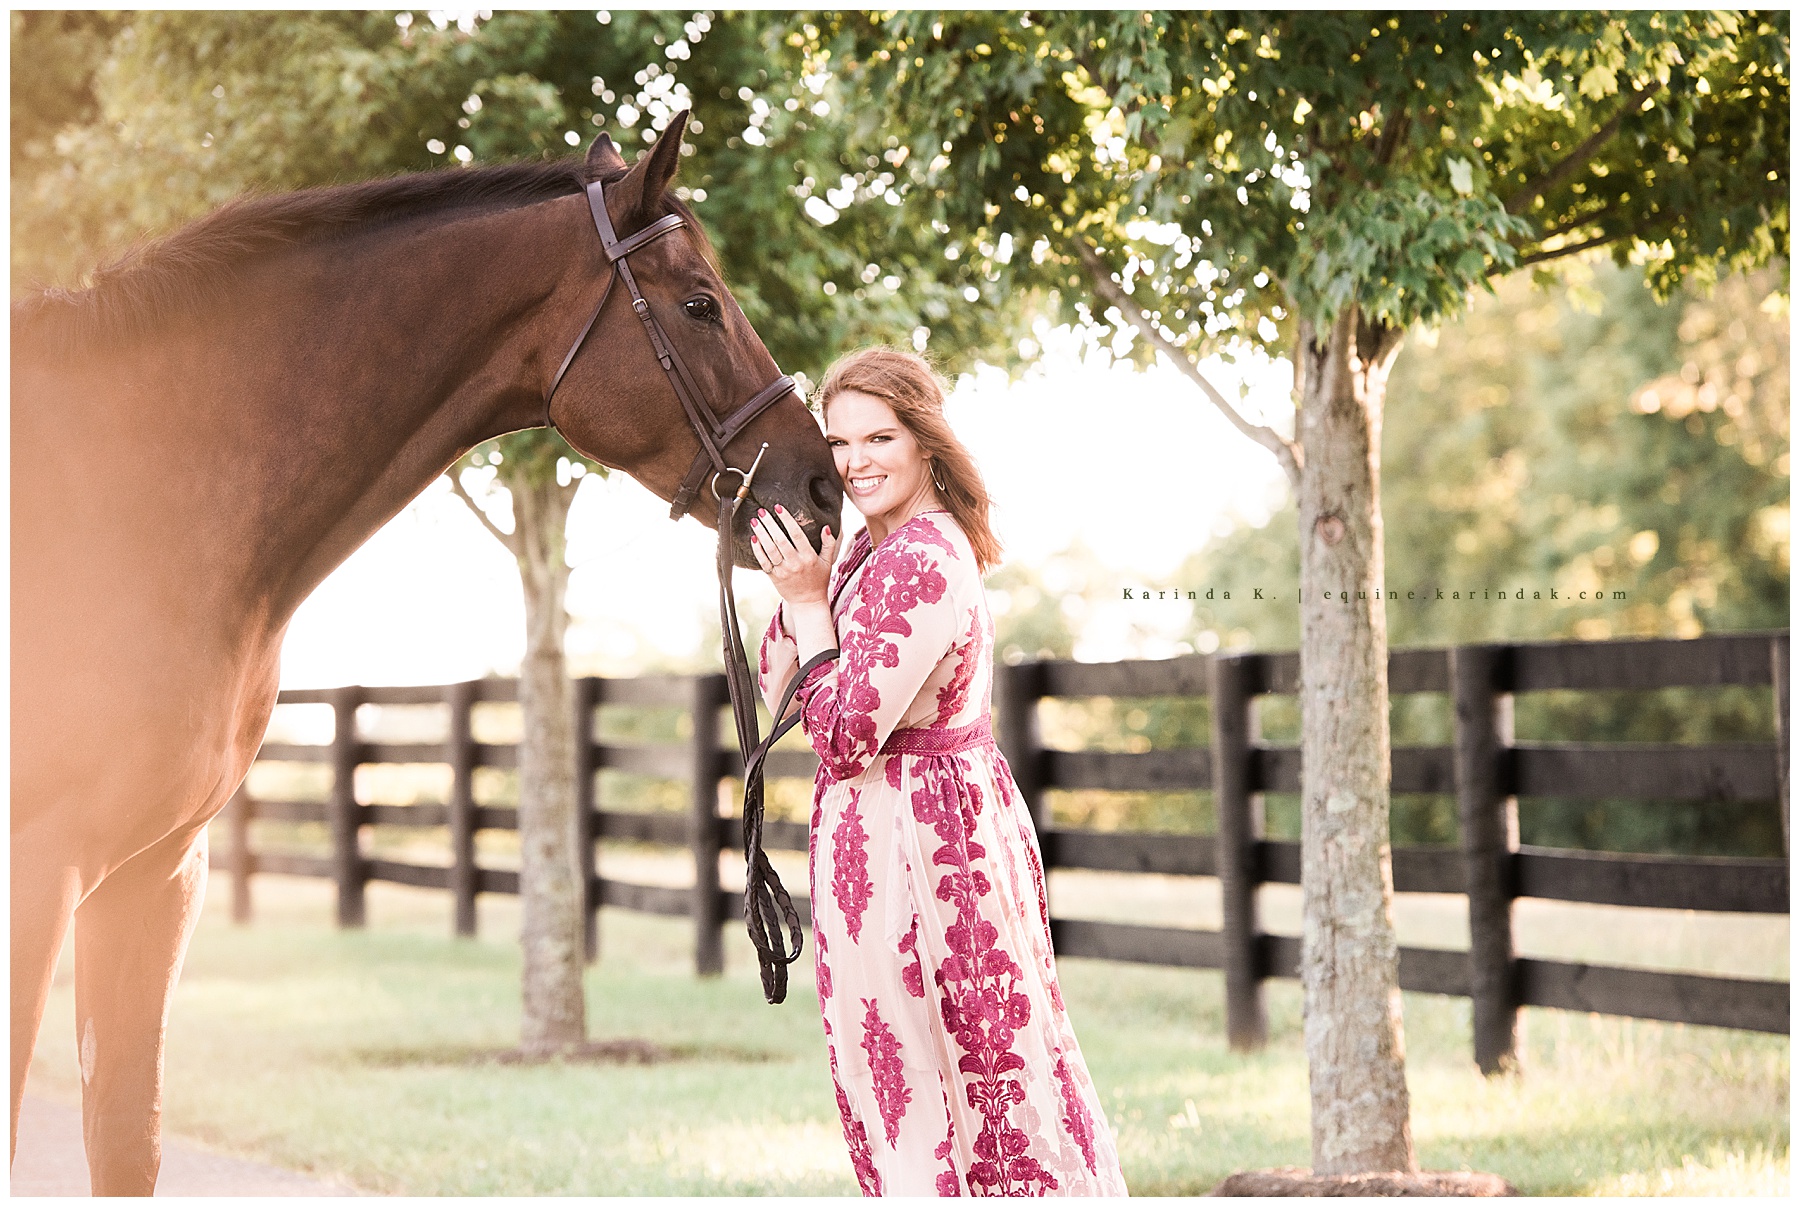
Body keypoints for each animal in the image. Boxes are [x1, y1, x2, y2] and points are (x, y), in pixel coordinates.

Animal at [10, 114, 842, 1194]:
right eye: (700, 303)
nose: (822, 484)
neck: (120, 494)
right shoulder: (39, 869)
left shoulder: (157, 874)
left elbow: (127, 1136)